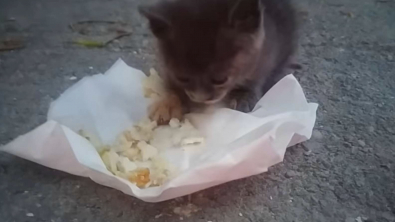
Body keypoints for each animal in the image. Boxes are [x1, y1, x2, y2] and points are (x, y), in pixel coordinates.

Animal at [141, 0, 298, 123]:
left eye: (220, 80)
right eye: (182, 78)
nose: (200, 98)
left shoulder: (265, 55)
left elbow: (255, 79)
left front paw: (243, 96)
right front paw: (169, 103)